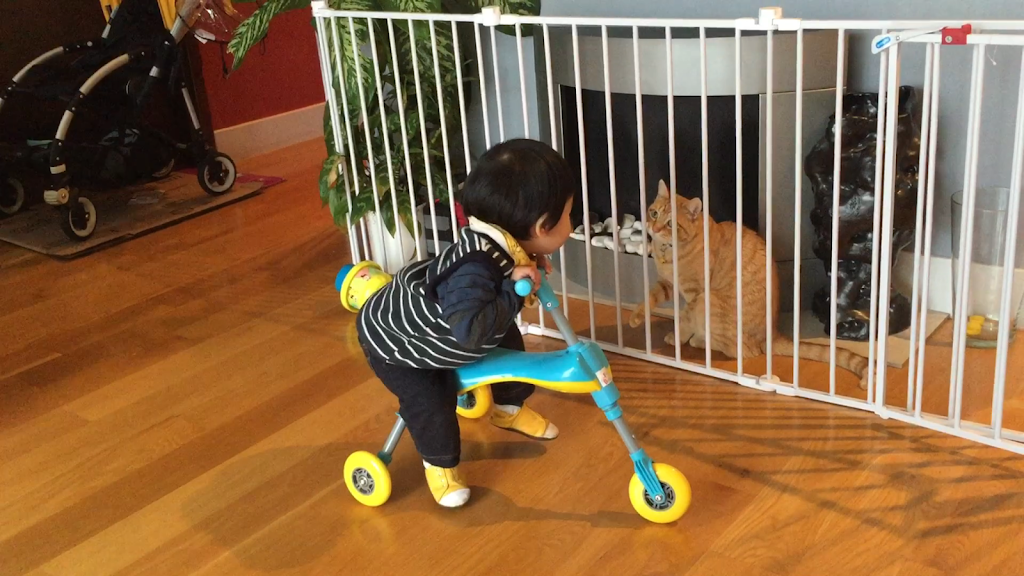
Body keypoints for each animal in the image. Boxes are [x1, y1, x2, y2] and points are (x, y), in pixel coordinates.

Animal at [628, 180, 869, 389]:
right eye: (654, 213)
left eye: (671, 223)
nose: (654, 228)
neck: (667, 251)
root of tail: (771, 335)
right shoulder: (667, 284)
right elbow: (650, 297)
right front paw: (636, 317)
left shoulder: (696, 294)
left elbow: (685, 319)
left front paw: (677, 338)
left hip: (710, 301)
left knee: (742, 351)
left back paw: (699, 341)